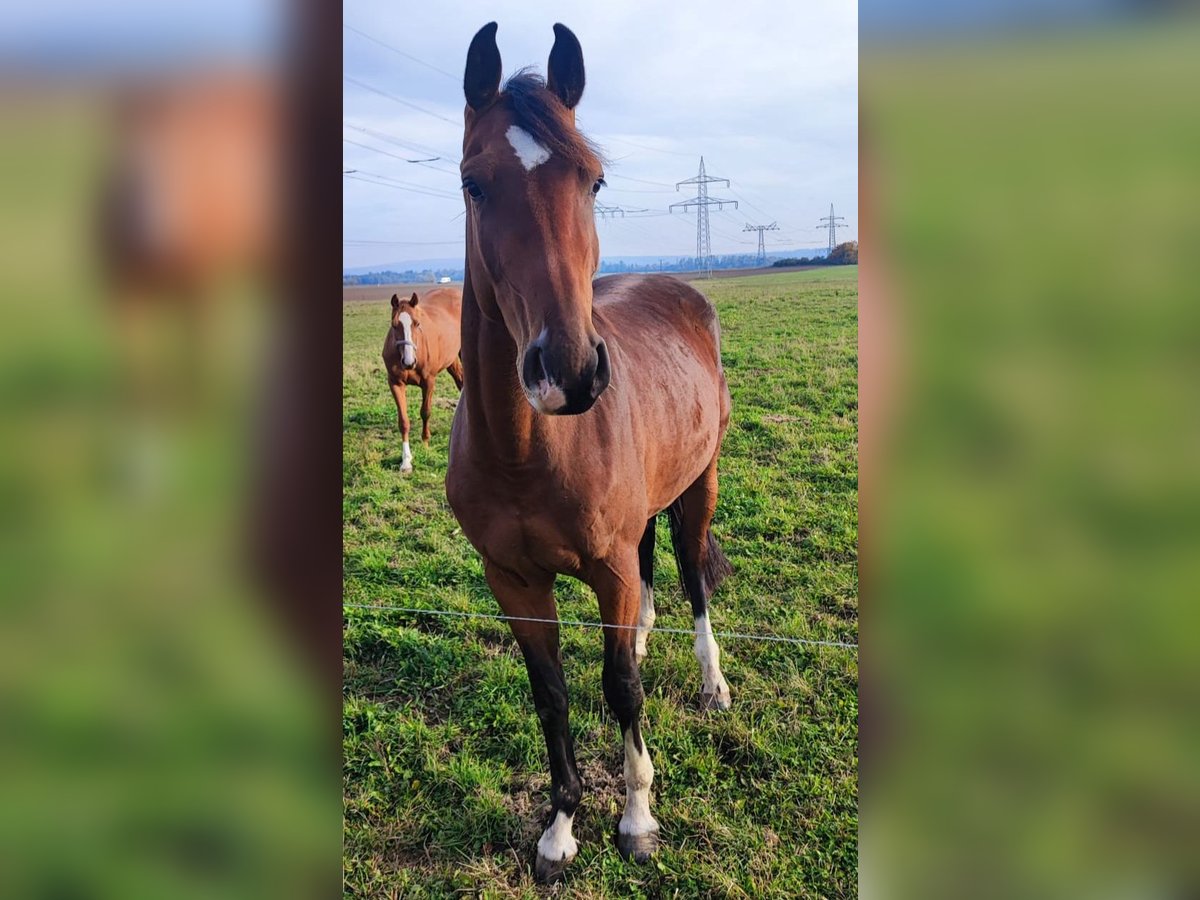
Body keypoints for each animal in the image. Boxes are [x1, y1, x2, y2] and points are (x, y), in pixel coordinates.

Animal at [381, 290, 465, 475]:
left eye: (417, 323)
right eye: (394, 325)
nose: (408, 362)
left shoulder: (429, 382)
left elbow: (425, 412)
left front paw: (425, 443)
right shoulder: (395, 383)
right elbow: (403, 421)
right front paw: (406, 461)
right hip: (452, 360)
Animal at [448, 22, 734, 888]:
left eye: (595, 181)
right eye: (474, 183)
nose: (569, 370)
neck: (526, 452)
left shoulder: (604, 565)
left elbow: (622, 692)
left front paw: (637, 818)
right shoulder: (513, 581)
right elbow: (553, 695)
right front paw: (560, 830)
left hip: (698, 489)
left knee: (690, 576)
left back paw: (713, 682)